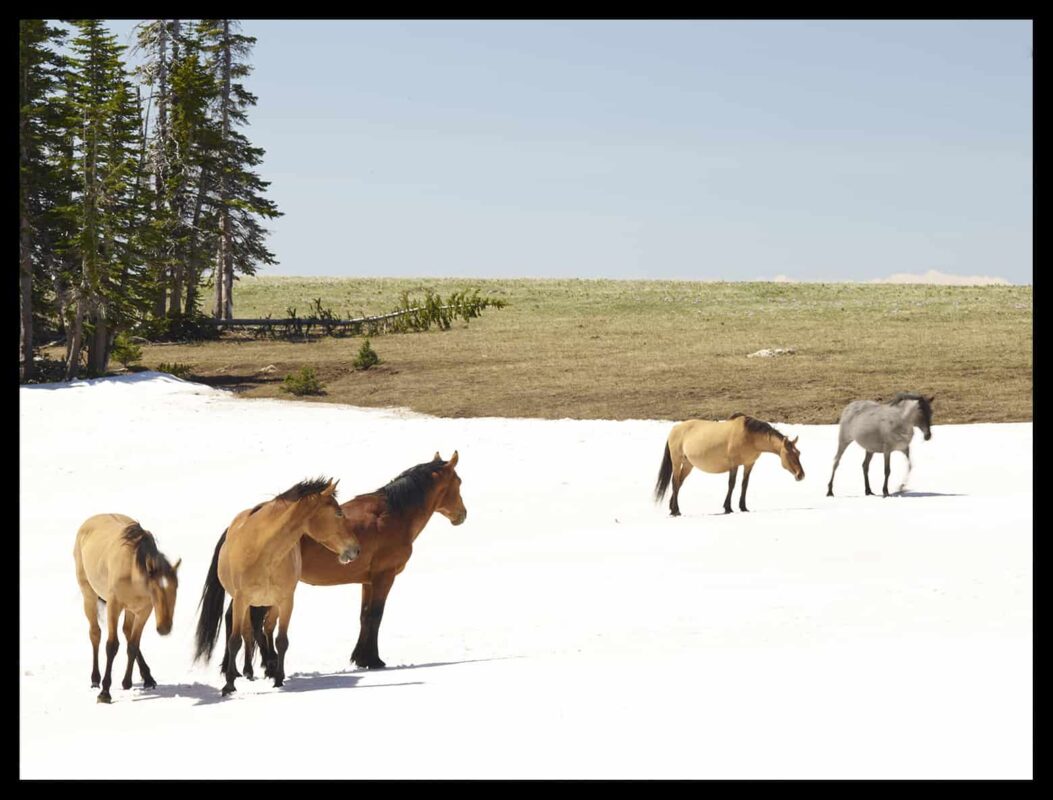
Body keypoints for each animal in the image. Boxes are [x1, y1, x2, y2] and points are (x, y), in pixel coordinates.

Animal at [74, 515, 181, 703]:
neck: (132, 570)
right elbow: (112, 646)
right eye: (154, 590)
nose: (164, 628)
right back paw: (95, 679)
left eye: (176, 588)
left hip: (131, 609)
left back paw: (147, 677)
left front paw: (127, 682)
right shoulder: (114, 606)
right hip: (88, 594)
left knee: (126, 631)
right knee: (95, 633)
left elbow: (133, 644)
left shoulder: (144, 610)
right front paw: (105, 692)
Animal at [193, 477, 362, 698]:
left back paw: (268, 667)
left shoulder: (285, 601)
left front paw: (279, 678)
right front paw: (228, 685)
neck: (263, 552)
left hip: (269, 604)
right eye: (339, 513)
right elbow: (235, 640)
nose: (356, 550)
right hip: (247, 604)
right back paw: (246, 671)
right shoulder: (241, 600)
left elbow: (282, 640)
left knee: (265, 629)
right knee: (247, 632)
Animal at [234, 450, 469, 673]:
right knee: (261, 625)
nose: (463, 514)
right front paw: (374, 660)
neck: (392, 514)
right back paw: (270, 663)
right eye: (459, 482)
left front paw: (360, 657)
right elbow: (376, 615)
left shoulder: (368, 581)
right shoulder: (385, 576)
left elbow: (364, 616)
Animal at [648, 412, 804, 517]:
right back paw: (676, 511)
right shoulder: (733, 464)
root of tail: (674, 429)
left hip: (688, 465)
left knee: (679, 483)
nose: (801, 475)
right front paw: (728, 507)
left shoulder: (749, 464)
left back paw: (672, 508)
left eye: (799, 453)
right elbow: (732, 484)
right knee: (675, 483)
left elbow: (744, 485)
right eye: (789, 454)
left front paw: (743, 507)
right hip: (677, 461)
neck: (750, 436)